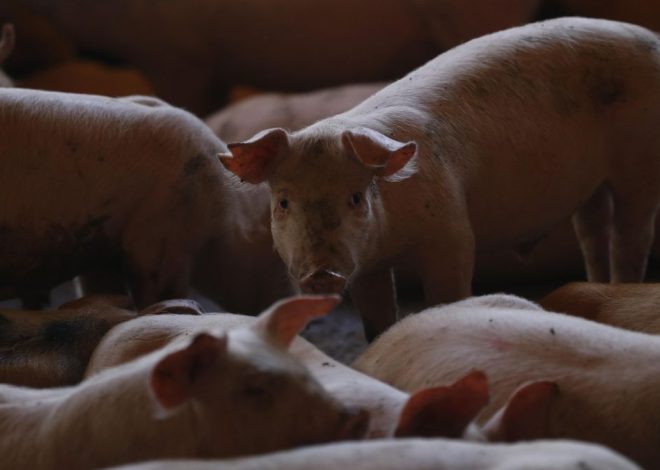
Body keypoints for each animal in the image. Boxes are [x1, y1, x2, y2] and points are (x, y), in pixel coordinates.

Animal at [220, 17, 660, 339]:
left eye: (356, 198)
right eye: (283, 202)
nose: (320, 273)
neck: (393, 241)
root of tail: (652, 39)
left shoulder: (451, 232)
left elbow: (448, 293)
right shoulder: (366, 263)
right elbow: (376, 319)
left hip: (640, 164)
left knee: (631, 237)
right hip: (591, 187)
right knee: (592, 232)